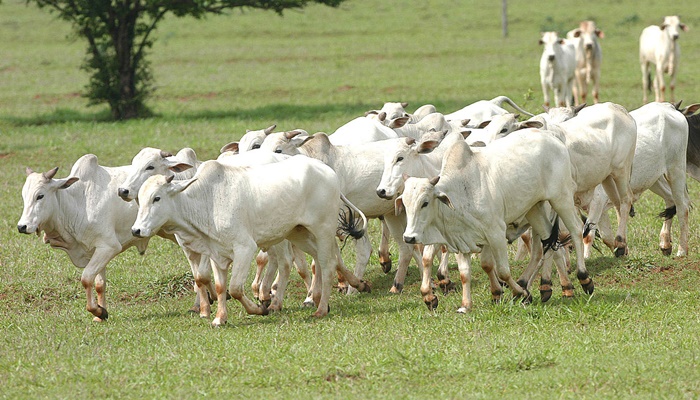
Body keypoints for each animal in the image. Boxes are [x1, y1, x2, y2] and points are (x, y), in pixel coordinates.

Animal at [17, 155, 149, 322]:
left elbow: (86, 279)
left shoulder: (109, 247)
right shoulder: (96, 250)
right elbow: (99, 284)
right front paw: (100, 315)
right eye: (23, 196)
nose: (22, 226)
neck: (79, 204)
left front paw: (98, 311)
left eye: (40, 196)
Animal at [133, 155, 372, 326]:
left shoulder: (245, 248)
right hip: (298, 232)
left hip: (322, 230)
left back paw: (321, 308)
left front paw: (260, 309)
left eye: (156, 198)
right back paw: (354, 286)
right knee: (323, 260)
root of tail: (327, 171)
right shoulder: (215, 254)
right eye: (140, 200)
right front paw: (220, 318)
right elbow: (220, 286)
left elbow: (235, 288)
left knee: (327, 263)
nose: (136, 230)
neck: (207, 201)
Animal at [396, 134, 592, 312]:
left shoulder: (495, 233)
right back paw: (548, 287)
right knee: (548, 243)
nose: (409, 237)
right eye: (404, 203)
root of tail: (554, 139)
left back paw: (583, 278)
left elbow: (503, 271)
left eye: (425, 202)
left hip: (561, 198)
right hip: (534, 209)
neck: (461, 191)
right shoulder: (463, 240)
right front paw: (466, 305)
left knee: (575, 230)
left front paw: (521, 294)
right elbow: (466, 273)